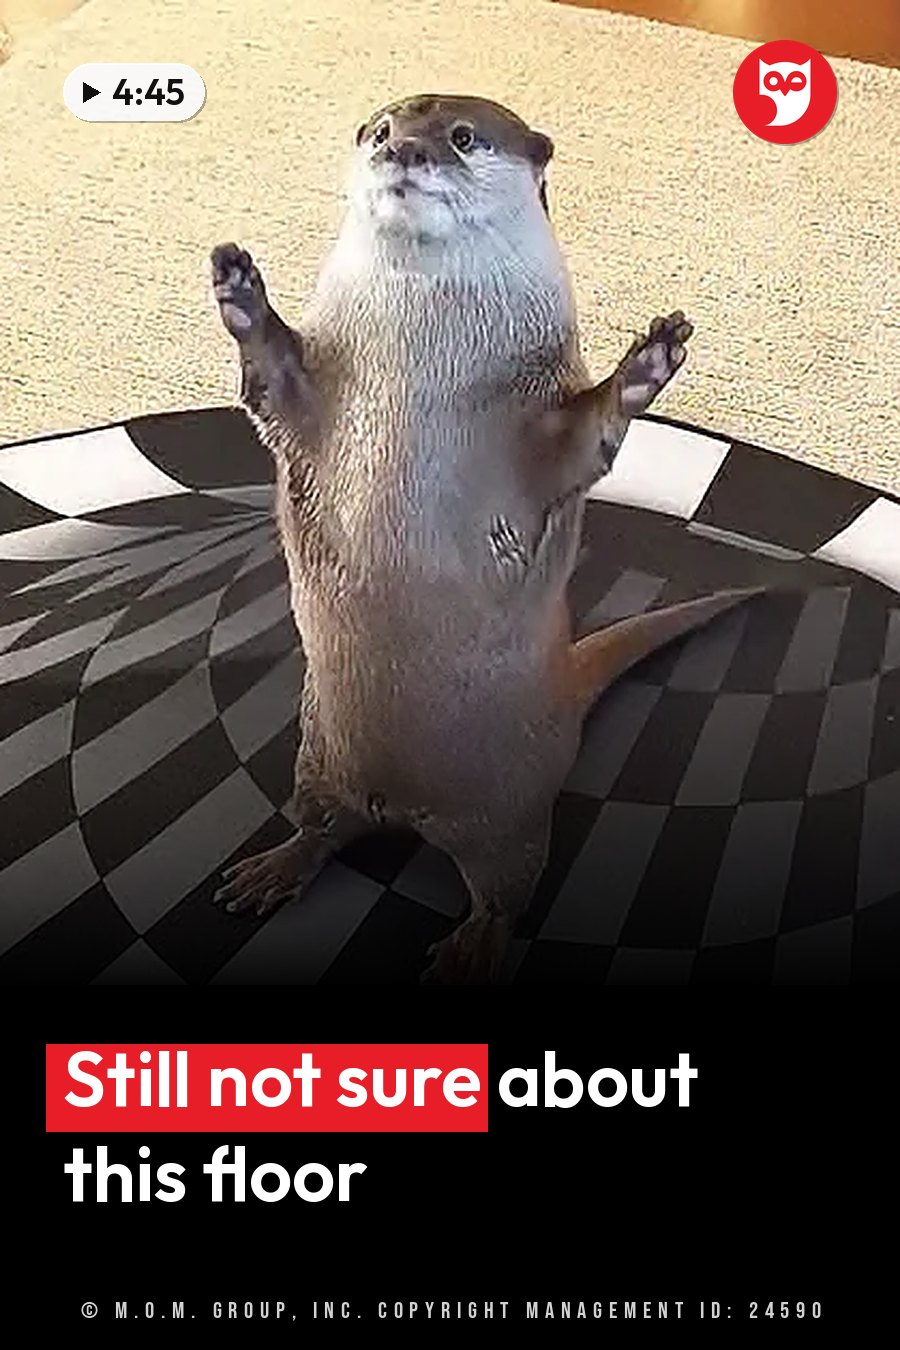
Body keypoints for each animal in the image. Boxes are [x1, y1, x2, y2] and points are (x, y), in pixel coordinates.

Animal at [210, 93, 758, 983]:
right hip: (317, 755)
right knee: (324, 826)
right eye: (377, 129)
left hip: (513, 816)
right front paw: (240, 293)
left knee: (505, 890)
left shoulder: (539, 429)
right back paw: (273, 869)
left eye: (464, 137)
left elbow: (587, 437)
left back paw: (471, 950)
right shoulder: (312, 395)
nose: (402, 149)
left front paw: (647, 364)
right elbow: (275, 381)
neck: (421, 360)